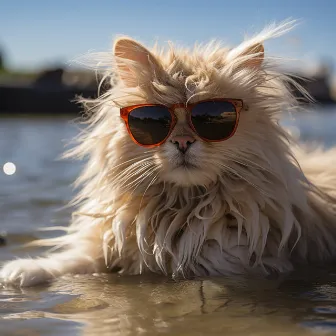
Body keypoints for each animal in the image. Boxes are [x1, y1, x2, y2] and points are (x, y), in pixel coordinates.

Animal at [1, 20, 336, 286]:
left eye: (214, 118)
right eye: (151, 121)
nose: (183, 142)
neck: (179, 206)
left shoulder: (233, 261)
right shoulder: (111, 243)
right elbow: (75, 259)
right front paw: (23, 270)